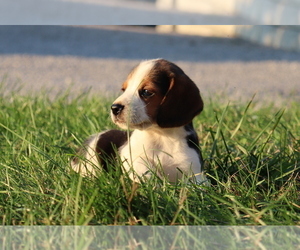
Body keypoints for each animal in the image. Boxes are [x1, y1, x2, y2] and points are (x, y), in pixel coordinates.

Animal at [72, 58, 207, 184]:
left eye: (146, 92)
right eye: (124, 89)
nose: (114, 108)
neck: (161, 136)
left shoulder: (194, 171)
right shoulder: (130, 157)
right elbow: (143, 167)